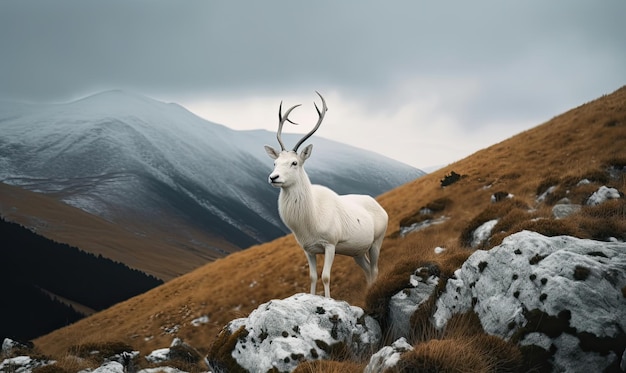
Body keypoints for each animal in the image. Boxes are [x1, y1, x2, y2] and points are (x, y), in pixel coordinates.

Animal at [262, 91, 386, 298]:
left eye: (294, 163)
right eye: (275, 162)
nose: (273, 177)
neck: (308, 223)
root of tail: (382, 208)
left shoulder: (331, 243)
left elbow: (326, 277)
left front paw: (328, 299)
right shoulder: (307, 249)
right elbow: (312, 277)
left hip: (377, 240)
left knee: (375, 269)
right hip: (357, 251)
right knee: (368, 270)